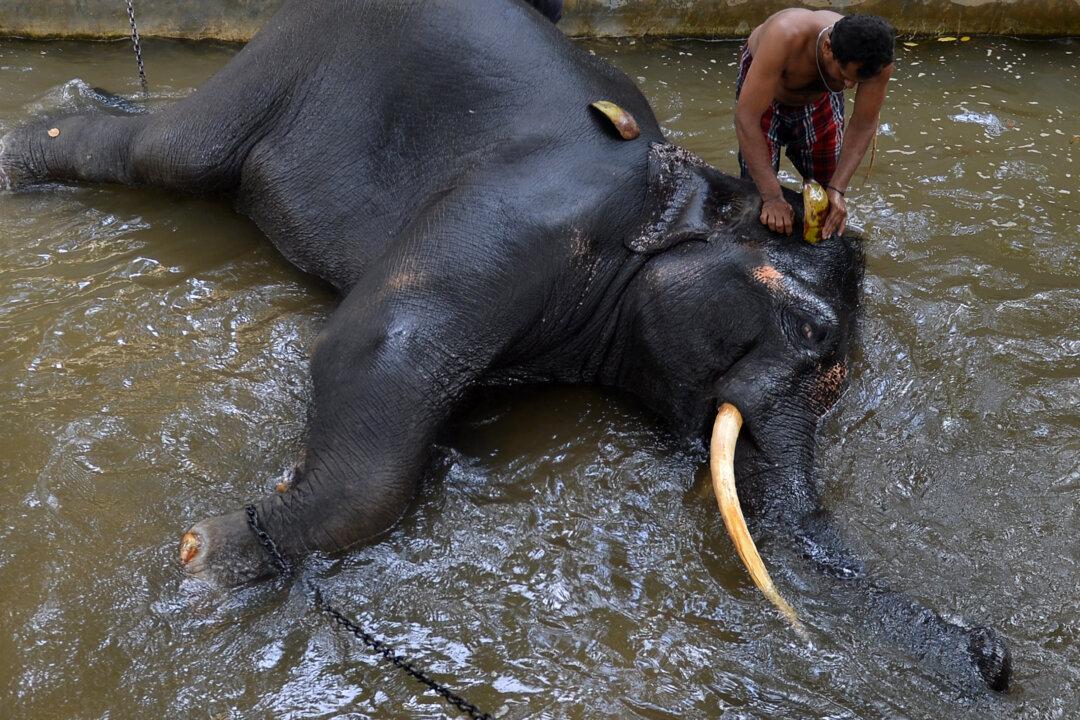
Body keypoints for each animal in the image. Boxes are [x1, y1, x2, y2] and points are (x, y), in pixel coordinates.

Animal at [0, 0, 1010, 693]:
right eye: (811, 332)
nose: (996, 654)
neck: (676, 190)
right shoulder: (522, 218)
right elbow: (377, 340)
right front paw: (213, 557)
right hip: (287, 60)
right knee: (165, 155)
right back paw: (27, 147)